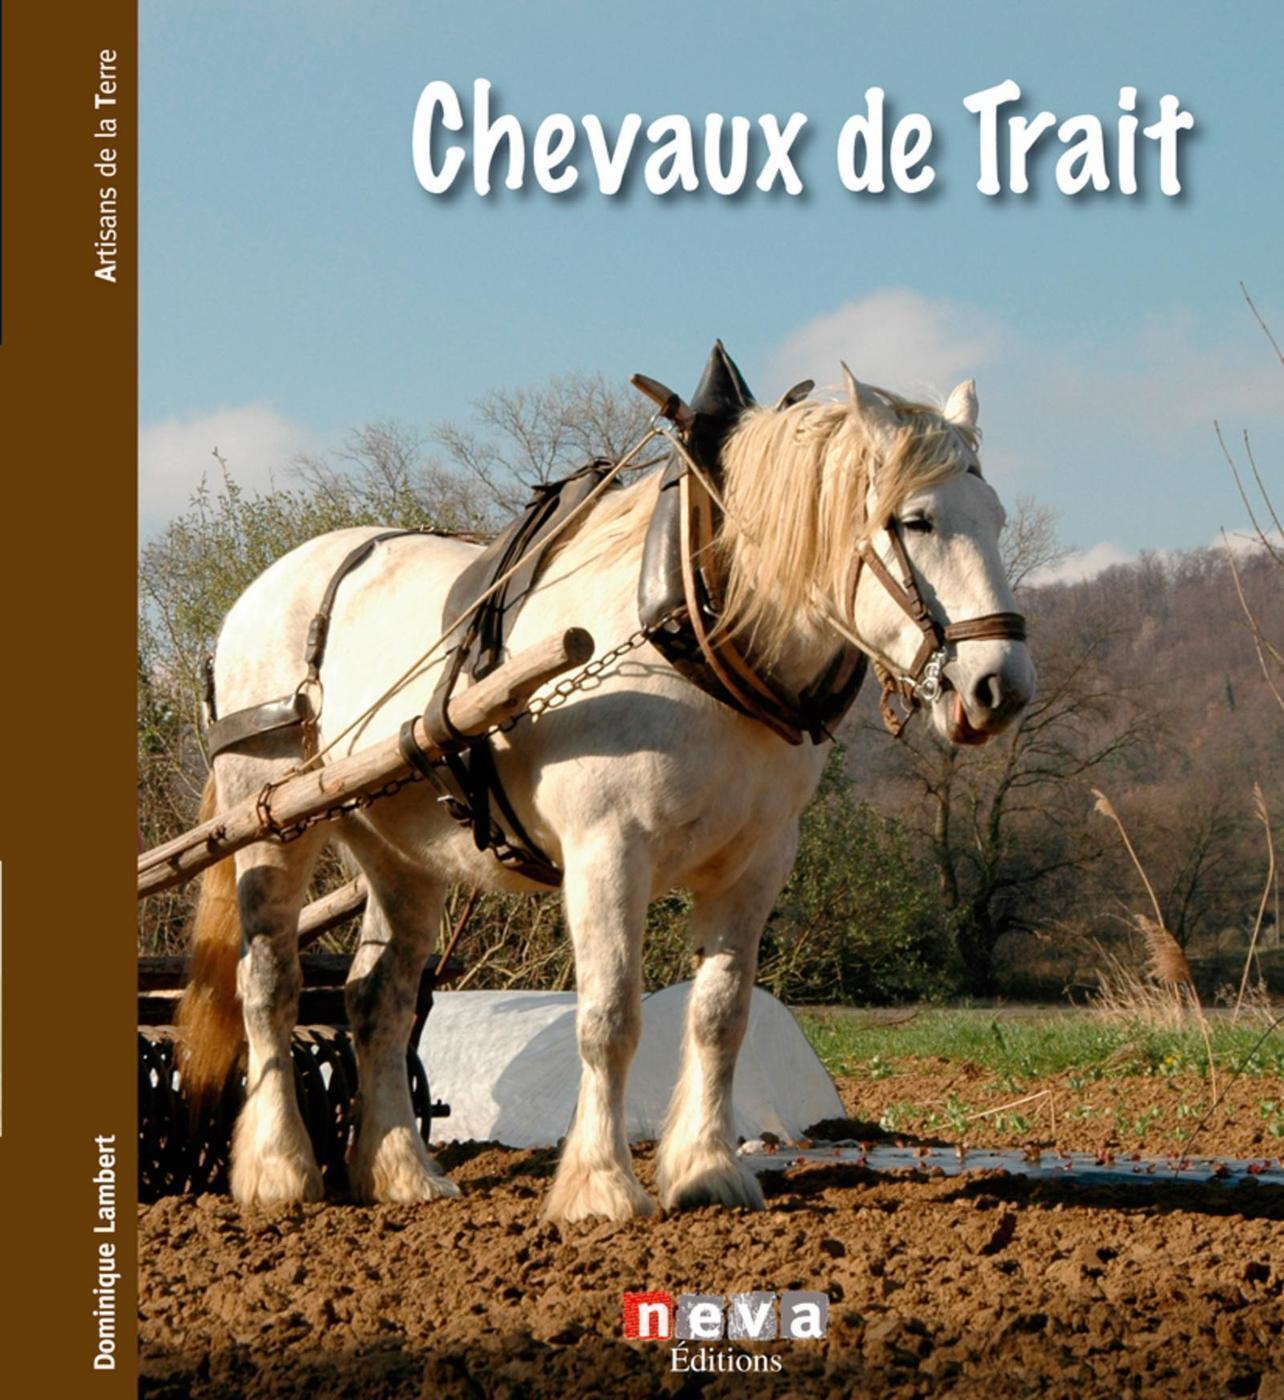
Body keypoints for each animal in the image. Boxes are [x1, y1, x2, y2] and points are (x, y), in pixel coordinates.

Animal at [179, 361, 1035, 1221]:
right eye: (915, 521)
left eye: (997, 517)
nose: (1000, 687)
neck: (694, 630)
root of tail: (264, 588)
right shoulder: (608, 848)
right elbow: (609, 1017)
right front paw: (601, 1187)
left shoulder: (756, 862)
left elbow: (721, 1015)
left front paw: (707, 1171)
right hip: (270, 822)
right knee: (269, 986)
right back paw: (280, 1170)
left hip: (399, 851)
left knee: (376, 1001)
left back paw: (402, 1173)